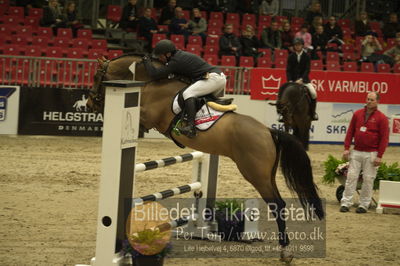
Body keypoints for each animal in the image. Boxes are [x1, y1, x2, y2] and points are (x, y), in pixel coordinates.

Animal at [87, 54, 324, 262]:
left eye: (97, 76)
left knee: (277, 204)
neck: (153, 83)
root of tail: (268, 131)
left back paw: (285, 251)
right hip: (268, 174)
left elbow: (140, 121)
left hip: (255, 174)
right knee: (278, 202)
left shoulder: (150, 116)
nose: (89, 105)